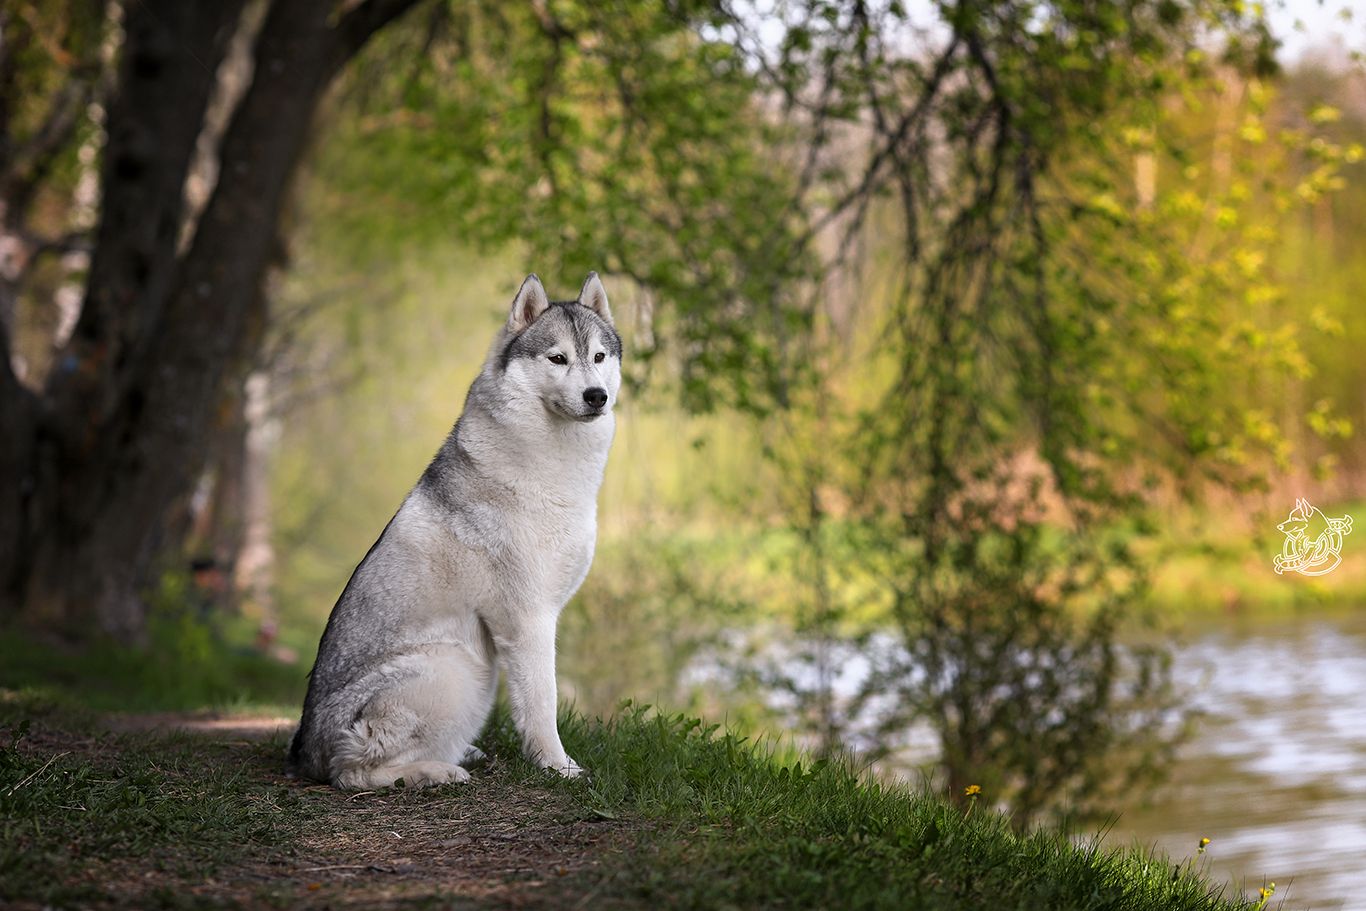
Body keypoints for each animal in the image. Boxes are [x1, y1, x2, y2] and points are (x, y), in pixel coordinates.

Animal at [288, 273, 620, 792]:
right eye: (558, 358)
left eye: (600, 357)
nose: (596, 396)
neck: (555, 465)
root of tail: (306, 757)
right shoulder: (529, 619)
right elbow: (542, 703)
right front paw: (557, 767)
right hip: (456, 667)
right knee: (354, 771)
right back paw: (436, 770)